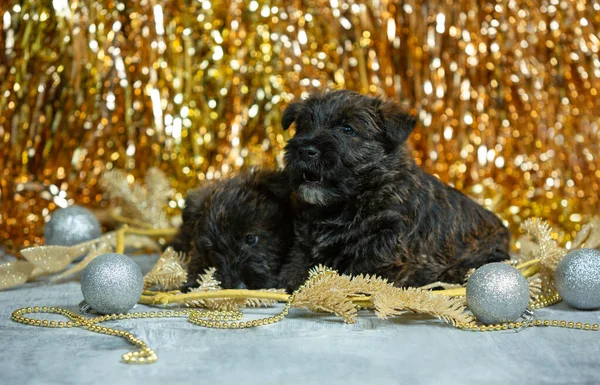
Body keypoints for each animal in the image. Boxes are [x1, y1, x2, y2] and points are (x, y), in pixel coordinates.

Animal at [278, 90, 508, 292]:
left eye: (347, 129)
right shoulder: (305, 242)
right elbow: (297, 265)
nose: (305, 150)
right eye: (304, 126)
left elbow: (363, 271)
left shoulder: (387, 241)